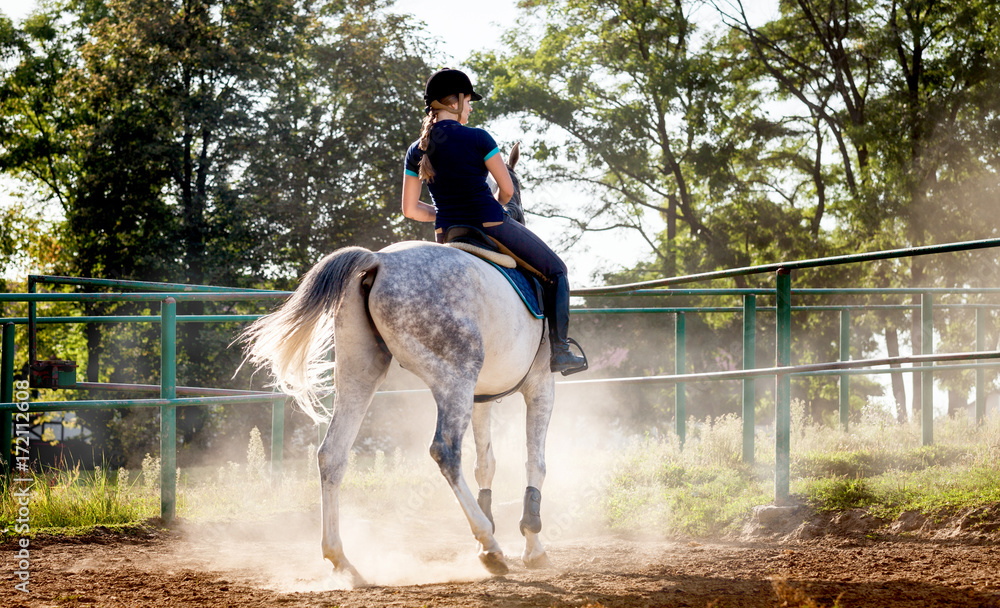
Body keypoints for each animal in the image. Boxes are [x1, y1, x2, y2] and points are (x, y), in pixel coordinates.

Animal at [242, 145, 556, 588]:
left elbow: (487, 464)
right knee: (445, 451)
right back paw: (490, 546)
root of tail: (377, 260)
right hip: (453, 380)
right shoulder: (540, 386)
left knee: (332, 455)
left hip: (362, 374)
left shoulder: (482, 398)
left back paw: (344, 562)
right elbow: (535, 461)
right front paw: (532, 543)